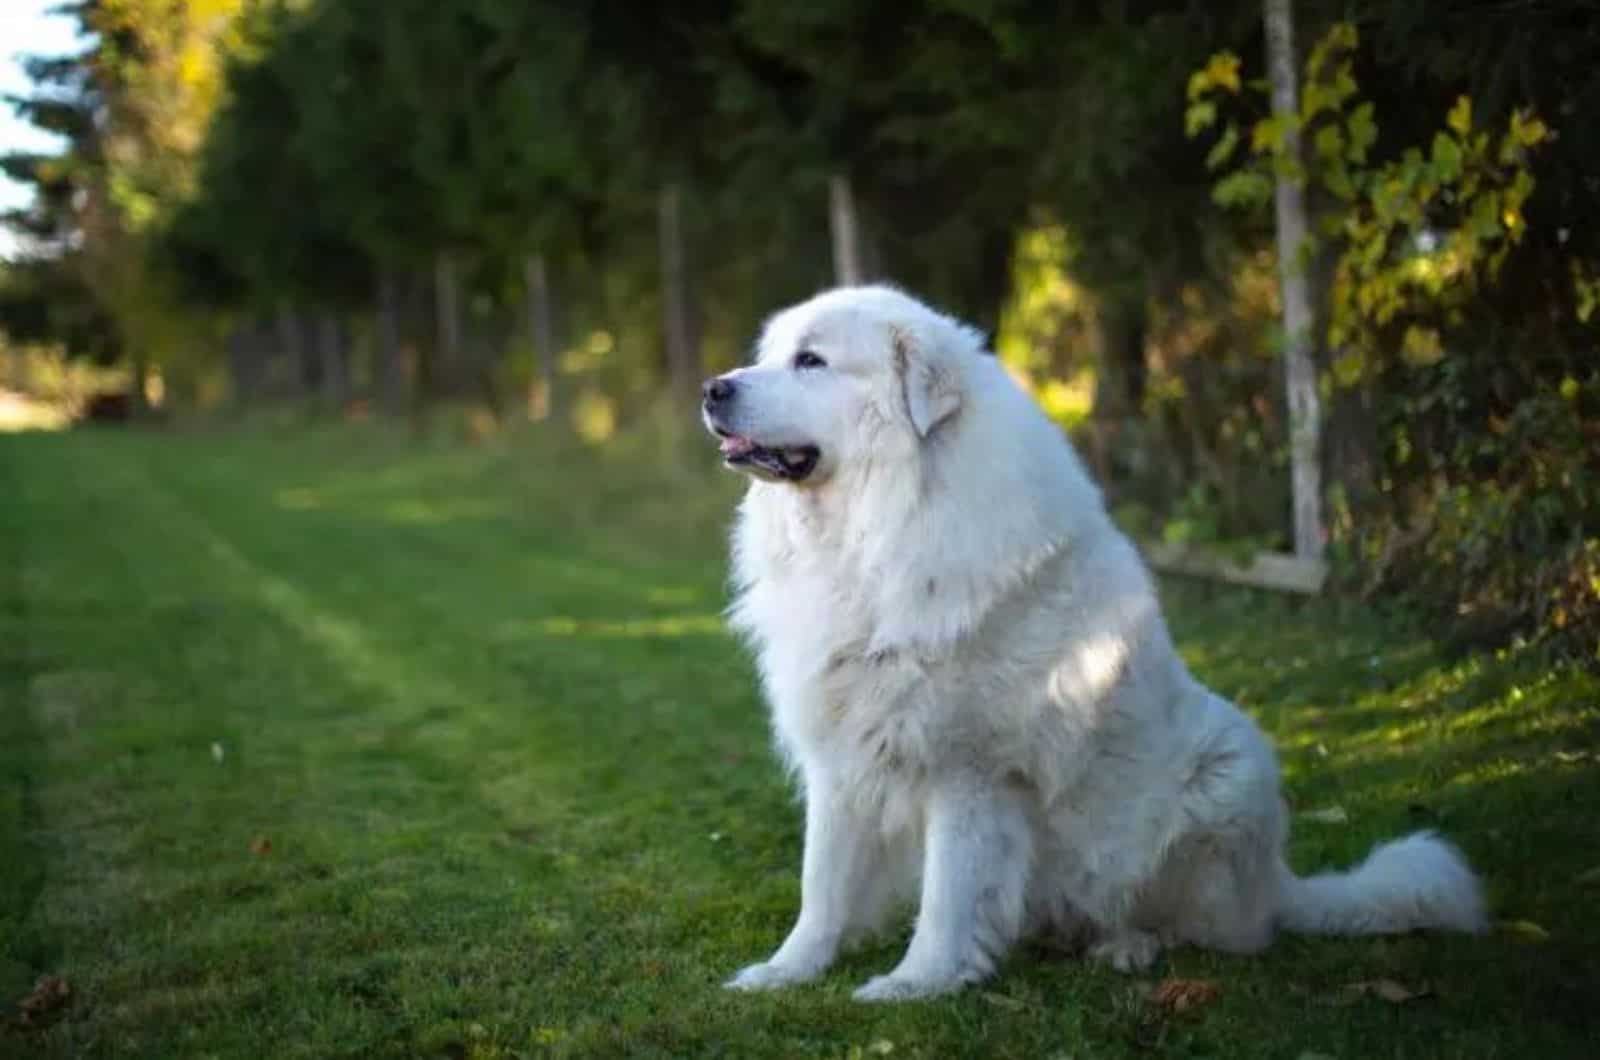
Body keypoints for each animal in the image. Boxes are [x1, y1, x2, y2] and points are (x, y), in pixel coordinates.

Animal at [700, 285, 1484, 1005]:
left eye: (811, 361)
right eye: (772, 353)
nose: (713, 388)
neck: (880, 528)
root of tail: (1279, 884)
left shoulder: (969, 770)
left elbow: (949, 894)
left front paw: (918, 982)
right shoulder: (841, 753)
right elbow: (823, 882)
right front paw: (787, 970)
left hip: (1229, 771)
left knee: (1217, 933)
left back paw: (1129, 947)